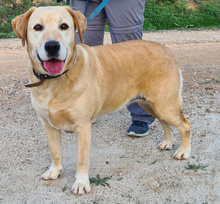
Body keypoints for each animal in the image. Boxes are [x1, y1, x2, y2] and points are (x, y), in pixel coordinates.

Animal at [12, 5, 191, 194]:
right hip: (151, 104)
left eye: (64, 26)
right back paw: (168, 143)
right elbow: (55, 152)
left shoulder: (83, 127)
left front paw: (81, 182)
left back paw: (184, 151)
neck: (54, 81)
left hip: (165, 105)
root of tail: (166, 49)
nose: (52, 46)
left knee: (185, 124)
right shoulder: (48, 125)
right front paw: (55, 171)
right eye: (38, 27)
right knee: (165, 123)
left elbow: (82, 159)